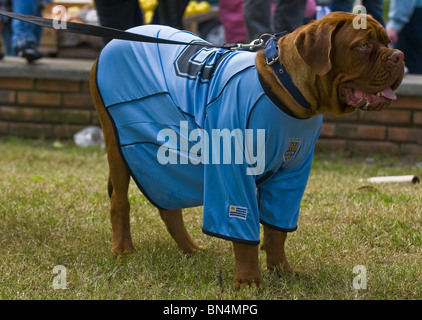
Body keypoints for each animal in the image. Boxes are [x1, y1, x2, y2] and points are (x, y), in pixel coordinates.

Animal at [88, 12, 402, 288]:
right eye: (363, 46)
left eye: (387, 42)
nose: (398, 56)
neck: (289, 92)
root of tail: (116, 40)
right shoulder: (234, 172)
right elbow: (243, 231)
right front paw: (248, 280)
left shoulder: (290, 176)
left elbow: (277, 231)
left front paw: (281, 270)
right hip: (121, 143)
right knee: (120, 202)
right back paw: (123, 250)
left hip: (168, 151)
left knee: (168, 202)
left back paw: (190, 249)